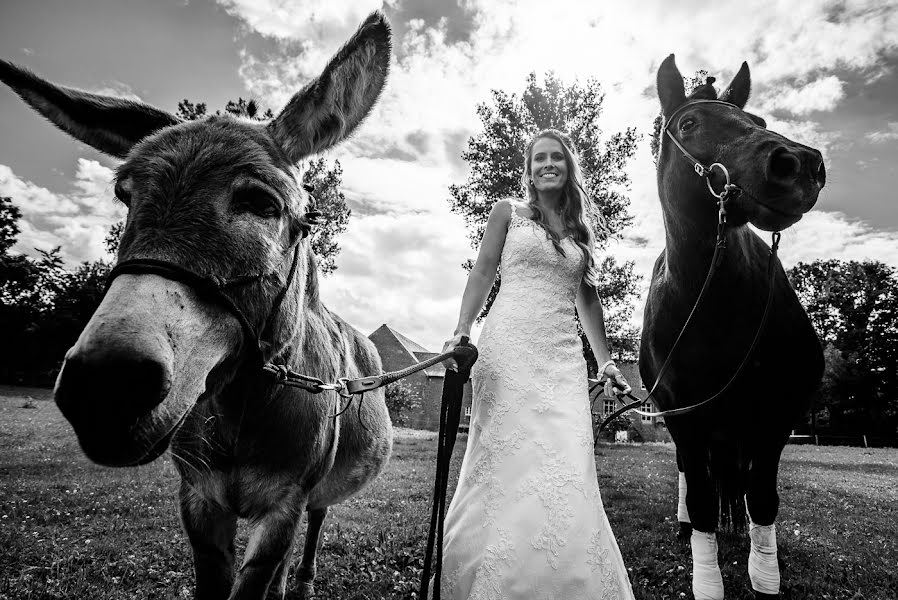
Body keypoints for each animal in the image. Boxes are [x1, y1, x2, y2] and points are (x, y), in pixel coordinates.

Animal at [0, 10, 392, 600]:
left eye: (261, 203)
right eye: (125, 195)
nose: (105, 385)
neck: (243, 408)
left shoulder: (285, 505)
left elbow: (264, 568)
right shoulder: (200, 502)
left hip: (317, 494)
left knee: (317, 524)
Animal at [640, 54, 824, 596]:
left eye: (757, 121)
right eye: (689, 124)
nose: (798, 163)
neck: (715, 306)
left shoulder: (779, 411)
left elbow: (761, 498)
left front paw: (764, 575)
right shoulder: (682, 413)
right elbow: (701, 497)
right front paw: (707, 577)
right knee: (691, 475)